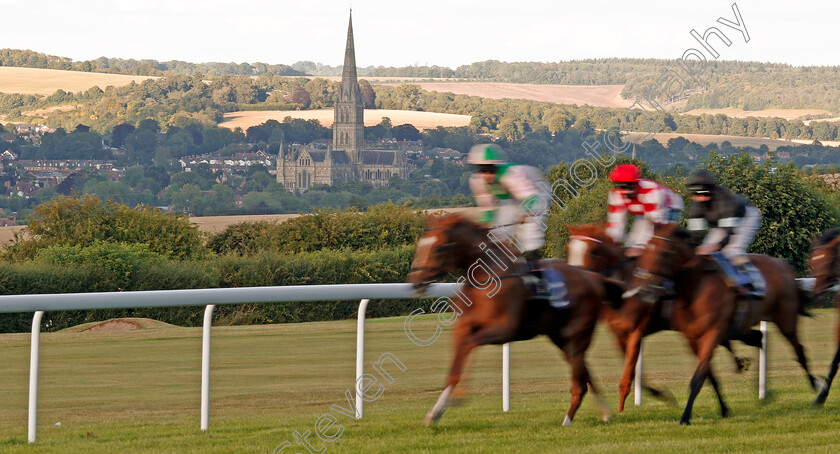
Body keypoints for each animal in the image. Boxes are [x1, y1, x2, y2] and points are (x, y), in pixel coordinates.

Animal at [410, 213, 620, 426]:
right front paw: (435, 412)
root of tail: (593, 278)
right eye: (421, 245)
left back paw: (568, 420)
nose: (416, 281)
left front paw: (459, 397)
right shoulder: (464, 327)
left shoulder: (505, 329)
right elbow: (456, 364)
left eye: (439, 248)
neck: (487, 275)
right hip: (559, 335)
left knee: (579, 380)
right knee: (583, 370)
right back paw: (604, 412)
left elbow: (470, 344)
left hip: (577, 332)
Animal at [564, 223, 748, 412]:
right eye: (568, 249)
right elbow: (634, 372)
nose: (573, 279)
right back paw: (739, 363)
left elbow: (629, 372)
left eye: (593, 251)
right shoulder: (619, 335)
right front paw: (661, 394)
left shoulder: (636, 331)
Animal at [632, 223, 820, 426]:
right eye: (645, 250)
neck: (695, 286)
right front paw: (724, 409)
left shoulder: (712, 333)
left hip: (785, 319)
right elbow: (709, 376)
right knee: (759, 338)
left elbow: (698, 378)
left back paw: (815, 387)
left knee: (798, 349)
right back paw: (759, 385)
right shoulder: (692, 338)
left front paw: (685, 417)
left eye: (664, 253)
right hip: (741, 329)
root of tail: (785, 266)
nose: (645, 291)